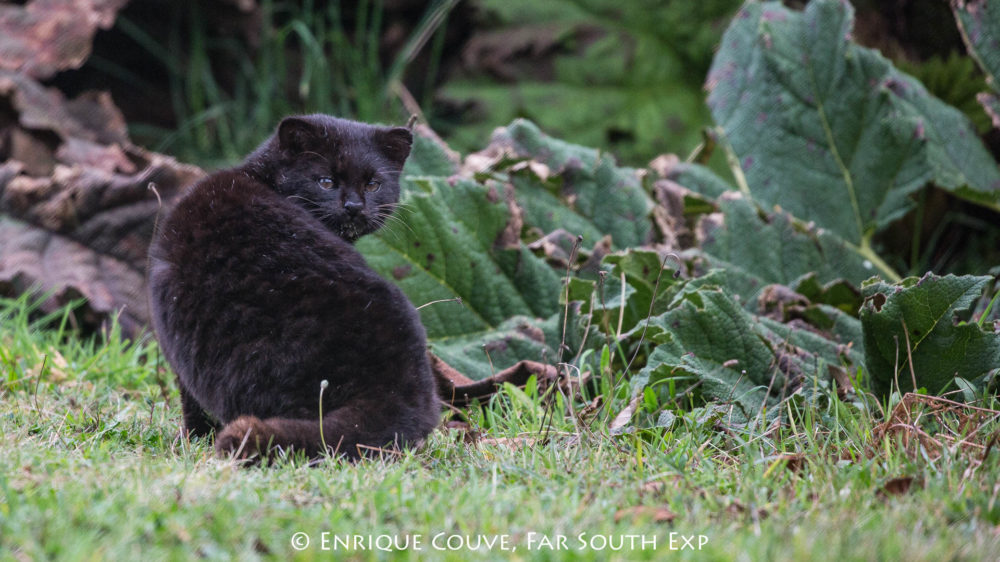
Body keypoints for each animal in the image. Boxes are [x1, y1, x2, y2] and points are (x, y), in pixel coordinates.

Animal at [147, 114, 438, 460]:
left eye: (372, 184)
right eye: (325, 181)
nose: (354, 205)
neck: (260, 178)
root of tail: (395, 389)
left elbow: (192, 407)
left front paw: (193, 439)